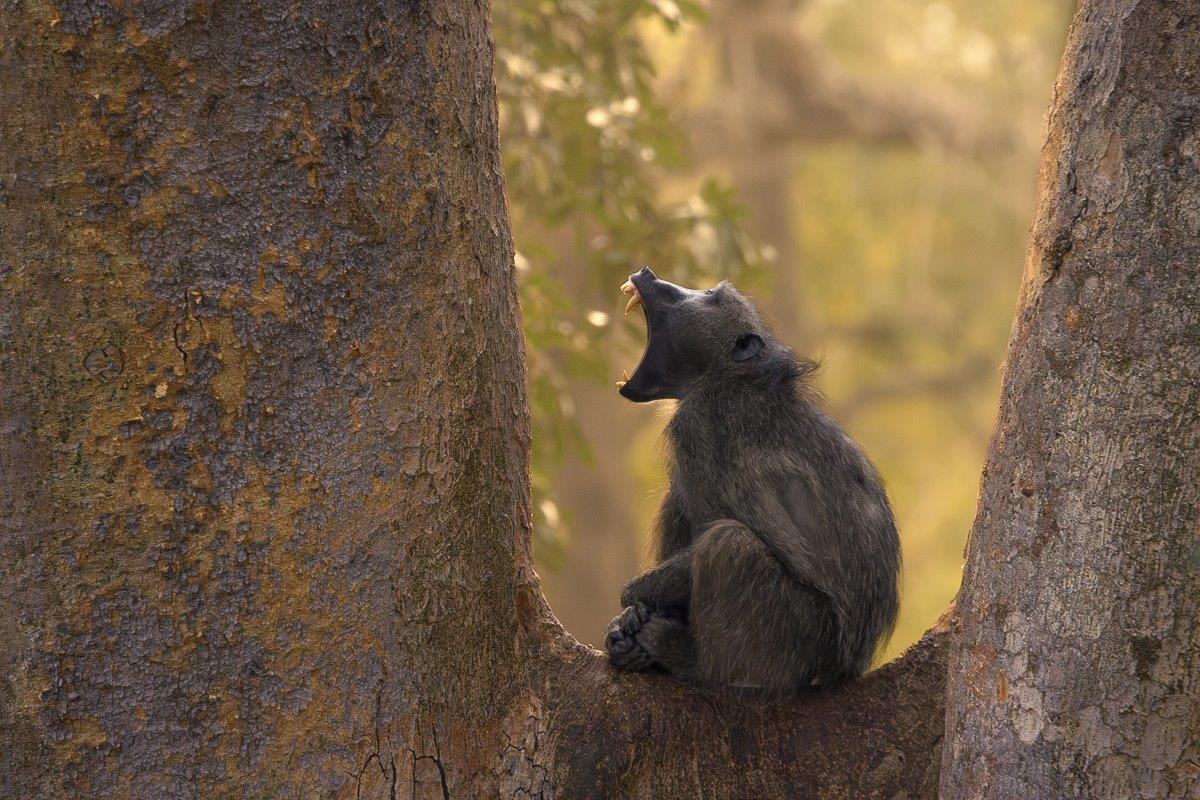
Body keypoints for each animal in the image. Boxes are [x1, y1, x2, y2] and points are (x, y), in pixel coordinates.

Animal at [604, 267, 900, 696]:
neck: (734, 376)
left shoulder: (697, 424)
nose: (649, 273)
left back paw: (686, 659)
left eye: (709, 295)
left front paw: (634, 600)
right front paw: (629, 619)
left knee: (729, 544)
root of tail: (845, 667)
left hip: (798, 639)